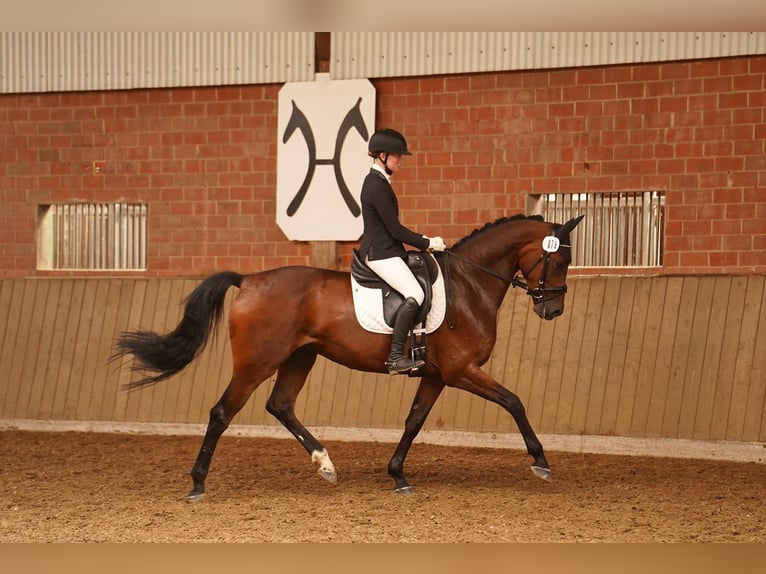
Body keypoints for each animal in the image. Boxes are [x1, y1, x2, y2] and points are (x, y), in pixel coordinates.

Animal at [112, 214, 584, 502]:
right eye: (559, 259)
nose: (553, 310)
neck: (470, 285)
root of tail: (249, 280)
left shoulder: (436, 375)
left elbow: (414, 420)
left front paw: (397, 474)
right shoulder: (461, 370)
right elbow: (514, 402)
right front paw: (540, 461)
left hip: (300, 357)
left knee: (280, 405)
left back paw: (325, 464)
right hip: (256, 362)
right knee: (222, 412)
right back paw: (198, 484)